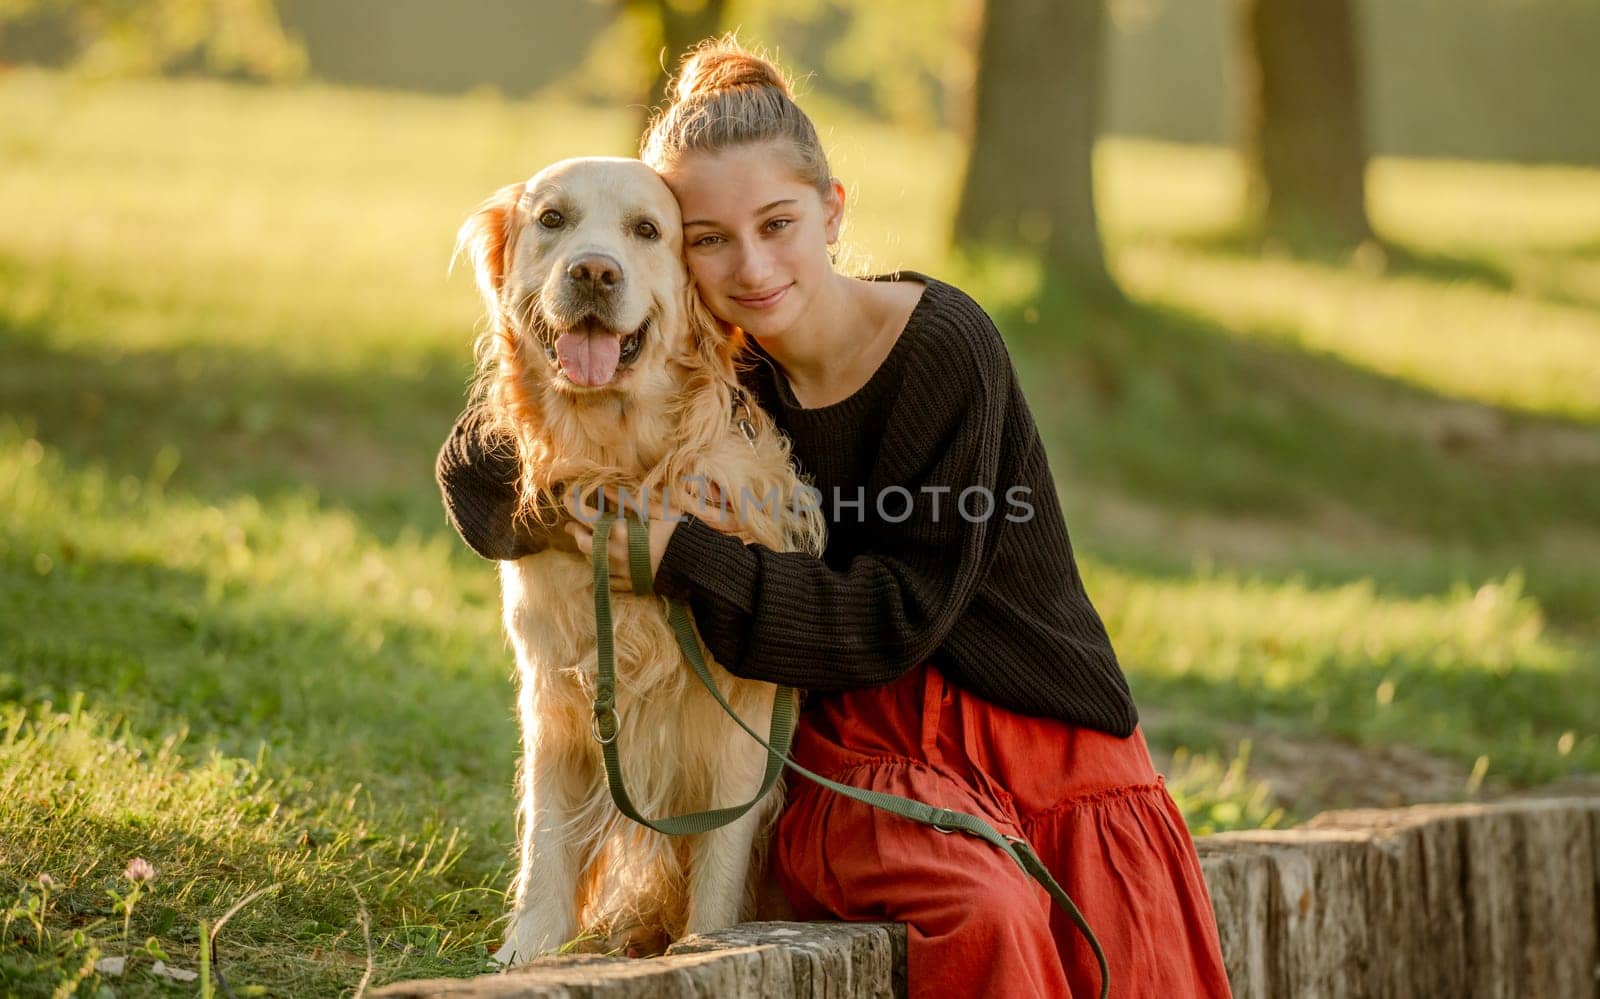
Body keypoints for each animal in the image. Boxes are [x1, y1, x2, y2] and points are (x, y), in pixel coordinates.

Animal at [454, 157, 819, 966]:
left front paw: (713, 945)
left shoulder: (742, 720)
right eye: (552, 219)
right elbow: (547, 841)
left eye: (648, 230)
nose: (594, 270)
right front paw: (526, 952)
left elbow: (718, 862)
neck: (621, 467)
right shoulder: (557, 693)